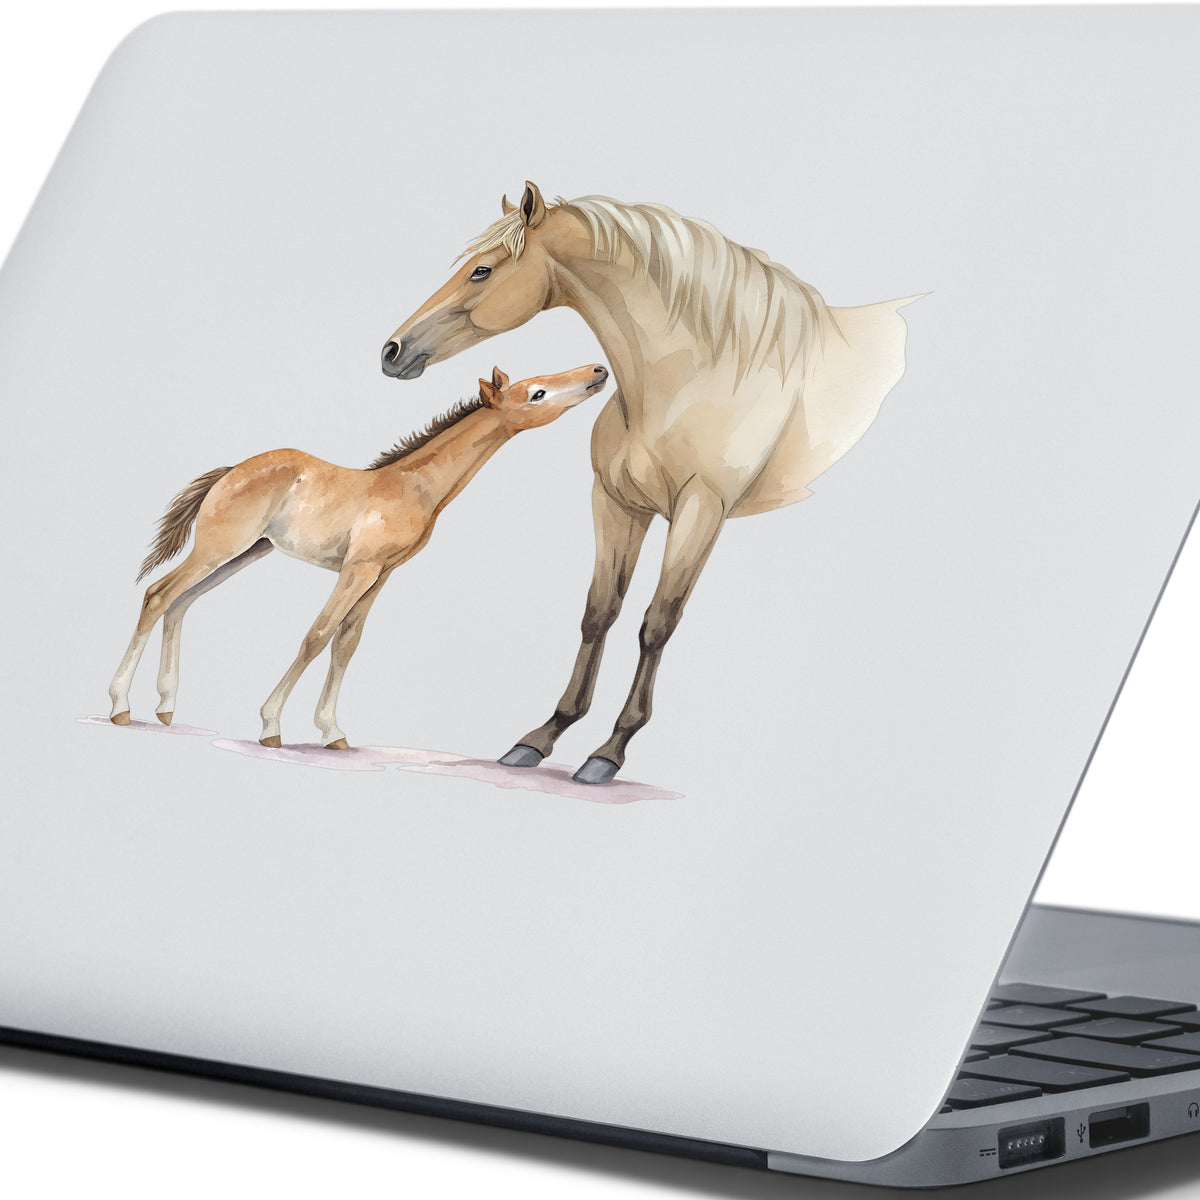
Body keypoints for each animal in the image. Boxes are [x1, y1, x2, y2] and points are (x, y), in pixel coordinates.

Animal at [108, 363, 608, 748]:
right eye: (537, 392)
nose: (597, 372)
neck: (412, 486)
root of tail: (230, 471)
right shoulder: (358, 568)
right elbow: (317, 636)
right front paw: (271, 726)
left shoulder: (381, 574)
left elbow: (347, 642)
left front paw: (333, 732)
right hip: (220, 548)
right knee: (158, 594)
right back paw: (119, 706)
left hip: (245, 554)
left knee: (181, 603)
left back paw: (166, 707)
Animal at [382, 183, 918, 783]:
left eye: (481, 270)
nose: (392, 351)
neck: (698, 376)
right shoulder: (616, 504)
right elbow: (599, 612)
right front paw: (544, 735)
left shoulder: (701, 510)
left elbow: (656, 623)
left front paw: (609, 750)